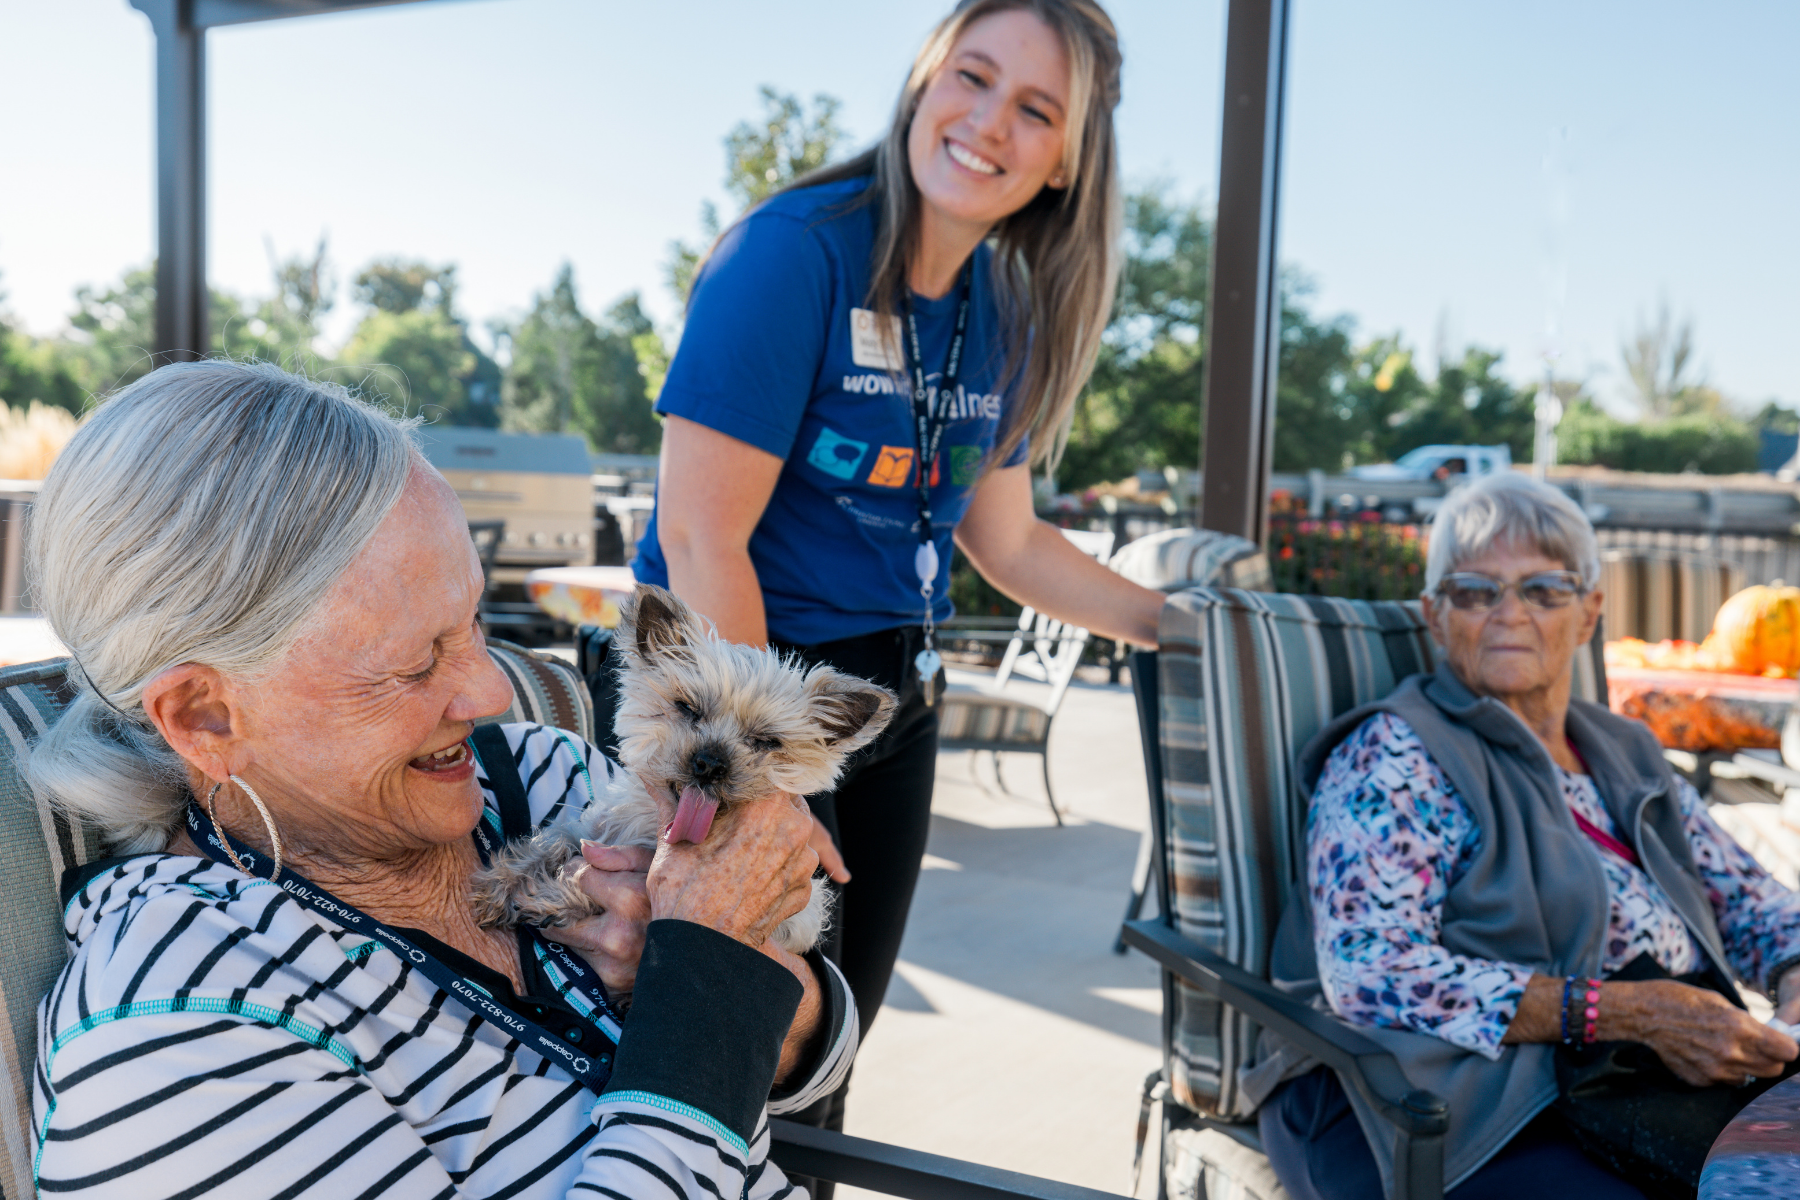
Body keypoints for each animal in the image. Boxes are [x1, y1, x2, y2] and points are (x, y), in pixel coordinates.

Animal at [468, 582, 896, 957]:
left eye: (767, 742)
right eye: (688, 707)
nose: (709, 763)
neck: (653, 830)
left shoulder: (796, 918)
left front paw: (553, 898)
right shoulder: (591, 828)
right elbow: (550, 841)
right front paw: (498, 886)